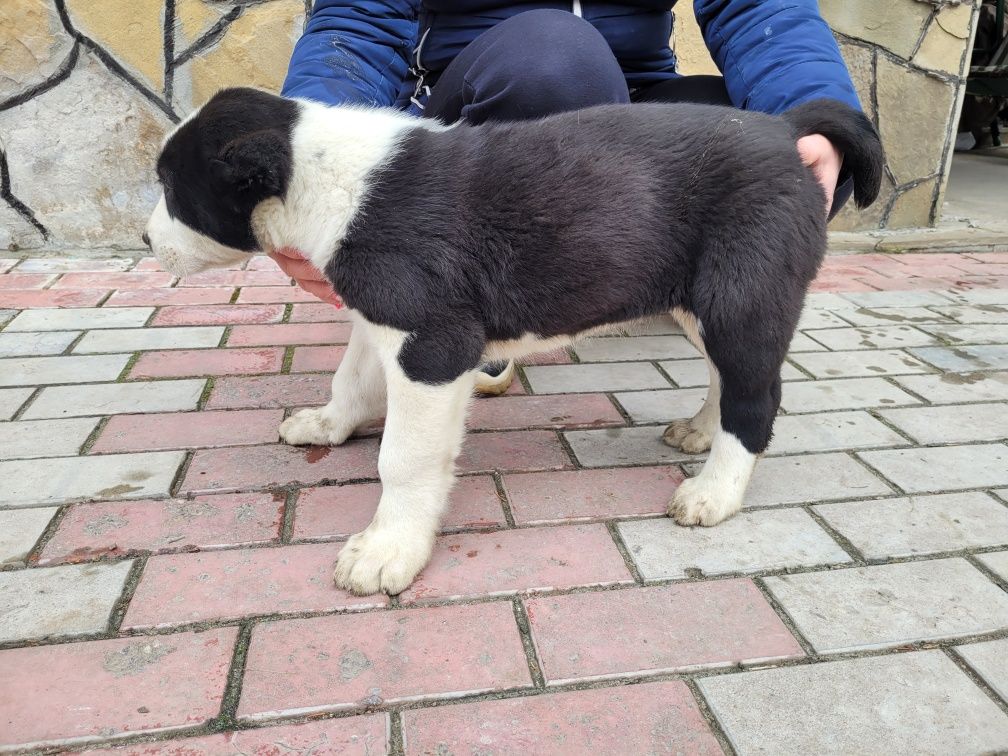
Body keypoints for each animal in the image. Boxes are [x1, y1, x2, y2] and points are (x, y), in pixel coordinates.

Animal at [147, 87, 883, 596]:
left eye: (171, 188)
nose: (145, 240)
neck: (318, 175)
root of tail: (784, 130)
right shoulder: (381, 320)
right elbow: (350, 380)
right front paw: (327, 425)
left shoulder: (432, 345)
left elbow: (404, 460)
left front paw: (388, 549)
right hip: (696, 304)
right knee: (729, 379)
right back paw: (702, 431)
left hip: (739, 294)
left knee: (756, 398)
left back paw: (714, 493)